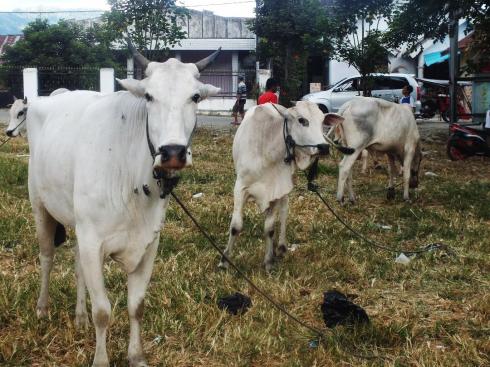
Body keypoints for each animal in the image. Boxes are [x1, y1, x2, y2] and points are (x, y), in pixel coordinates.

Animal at [24, 38, 220, 366]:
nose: (173, 152)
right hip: (40, 206)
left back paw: (79, 318)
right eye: (149, 96)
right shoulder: (93, 241)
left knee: (76, 264)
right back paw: (41, 309)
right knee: (47, 256)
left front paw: (136, 356)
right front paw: (101, 360)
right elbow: (103, 311)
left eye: (195, 96)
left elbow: (136, 306)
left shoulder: (148, 244)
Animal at [219, 101, 330, 274]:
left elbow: (270, 228)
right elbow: (236, 226)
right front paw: (224, 261)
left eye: (322, 121)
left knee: (284, 212)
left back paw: (282, 247)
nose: (324, 147)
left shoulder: (277, 191)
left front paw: (269, 261)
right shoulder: (240, 188)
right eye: (302, 120)